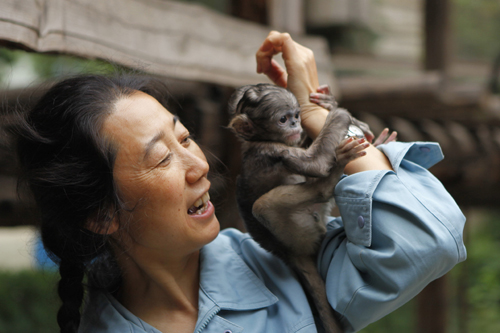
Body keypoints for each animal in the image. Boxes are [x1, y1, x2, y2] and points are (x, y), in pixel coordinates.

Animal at [229, 83, 370, 332]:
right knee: (263, 205)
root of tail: (286, 253)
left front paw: (329, 103)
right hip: (297, 231)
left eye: (296, 115)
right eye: (283, 119)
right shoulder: (272, 151)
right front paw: (340, 113)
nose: (296, 124)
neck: (258, 141)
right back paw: (327, 182)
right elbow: (317, 163)